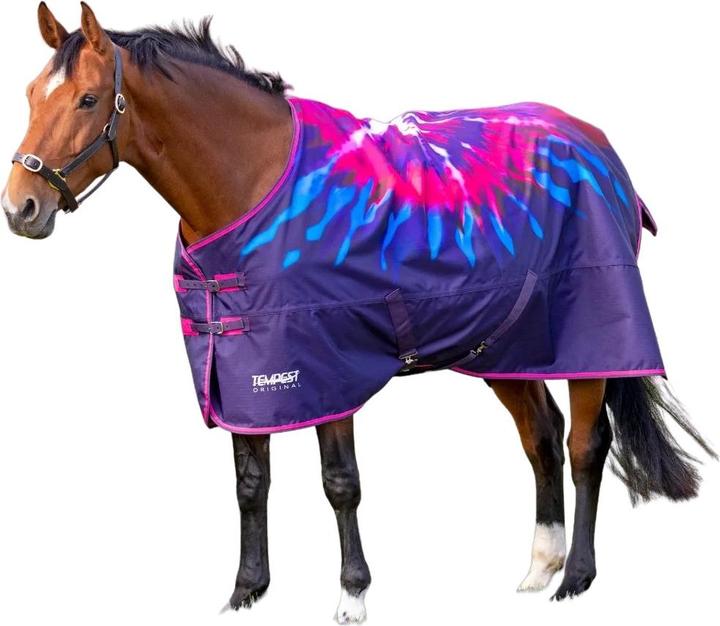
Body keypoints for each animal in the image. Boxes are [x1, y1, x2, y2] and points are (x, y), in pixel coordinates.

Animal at [2, 4, 716, 623]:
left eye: (88, 100)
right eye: (33, 95)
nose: (20, 208)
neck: (253, 182)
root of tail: (598, 148)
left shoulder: (329, 368)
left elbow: (340, 482)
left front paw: (352, 595)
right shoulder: (244, 372)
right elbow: (250, 483)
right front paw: (246, 592)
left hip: (588, 340)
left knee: (585, 445)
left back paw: (575, 580)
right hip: (506, 347)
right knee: (540, 437)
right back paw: (540, 565)